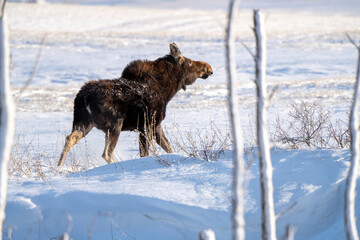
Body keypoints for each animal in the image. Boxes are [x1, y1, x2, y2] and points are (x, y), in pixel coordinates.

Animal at [57, 43, 212, 166]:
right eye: (190, 62)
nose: (208, 67)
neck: (167, 91)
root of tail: (83, 98)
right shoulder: (146, 125)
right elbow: (146, 153)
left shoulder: (155, 125)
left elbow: (169, 147)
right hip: (114, 124)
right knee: (106, 153)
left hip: (83, 123)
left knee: (69, 138)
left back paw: (59, 167)